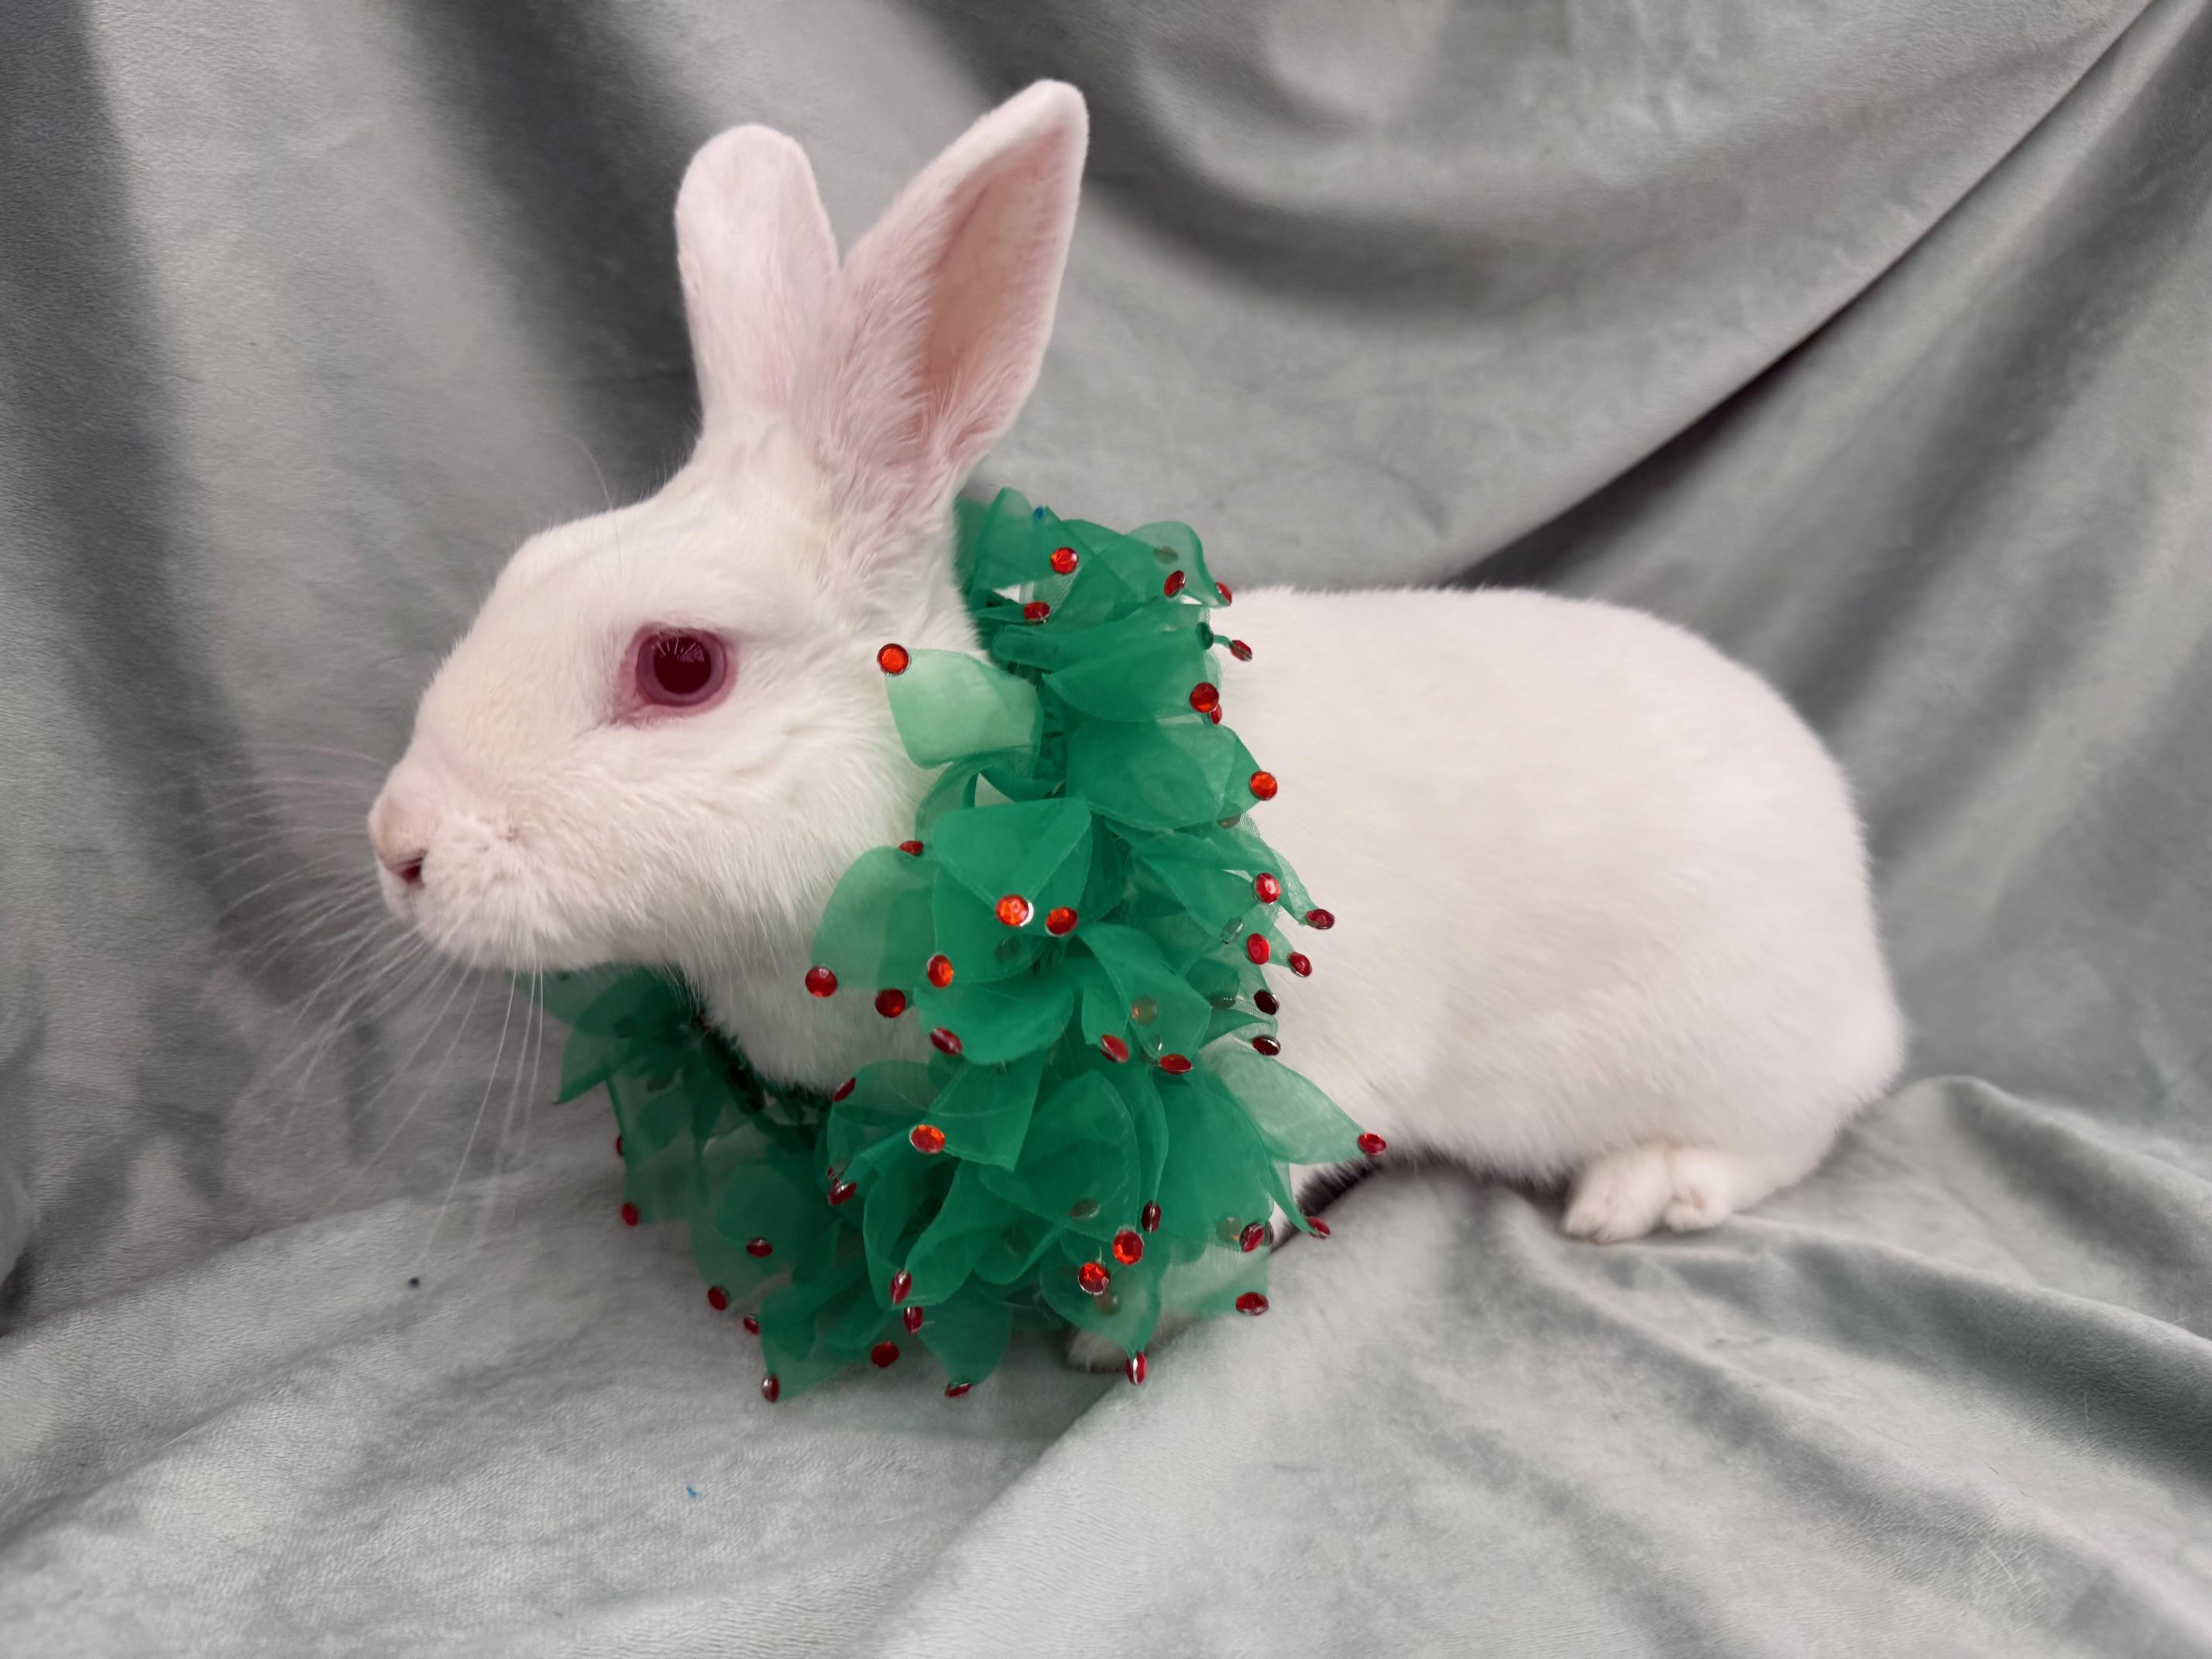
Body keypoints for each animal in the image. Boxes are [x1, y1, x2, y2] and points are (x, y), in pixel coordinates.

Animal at [369, 81, 1906, 1371]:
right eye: (528, 562)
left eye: (680, 665)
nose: (396, 846)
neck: (975, 818)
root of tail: (1867, 953)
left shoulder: (1274, 1073)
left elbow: (1218, 1219)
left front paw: (1106, 1342)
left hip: (1733, 1045)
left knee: (1796, 1131)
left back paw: (1639, 1192)